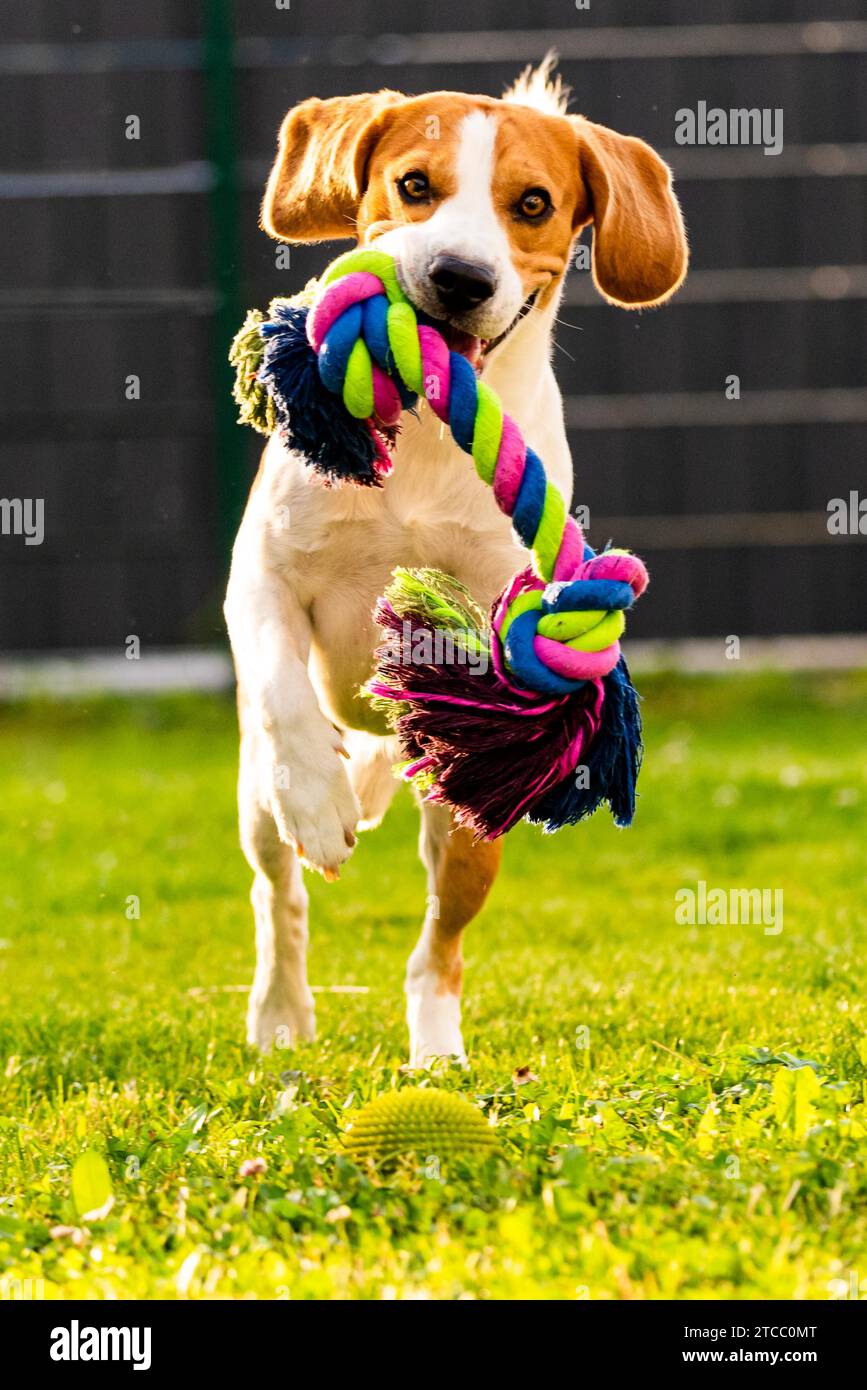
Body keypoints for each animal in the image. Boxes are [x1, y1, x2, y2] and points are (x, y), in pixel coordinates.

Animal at [226, 59, 686, 1061]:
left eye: (532, 203)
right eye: (413, 185)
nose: (459, 276)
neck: (430, 432)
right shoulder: (262, 578)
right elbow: (280, 683)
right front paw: (317, 794)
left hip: (467, 820)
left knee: (438, 942)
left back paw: (437, 1052)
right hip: (250, 802)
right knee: (277, 892)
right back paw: (280, 1013)